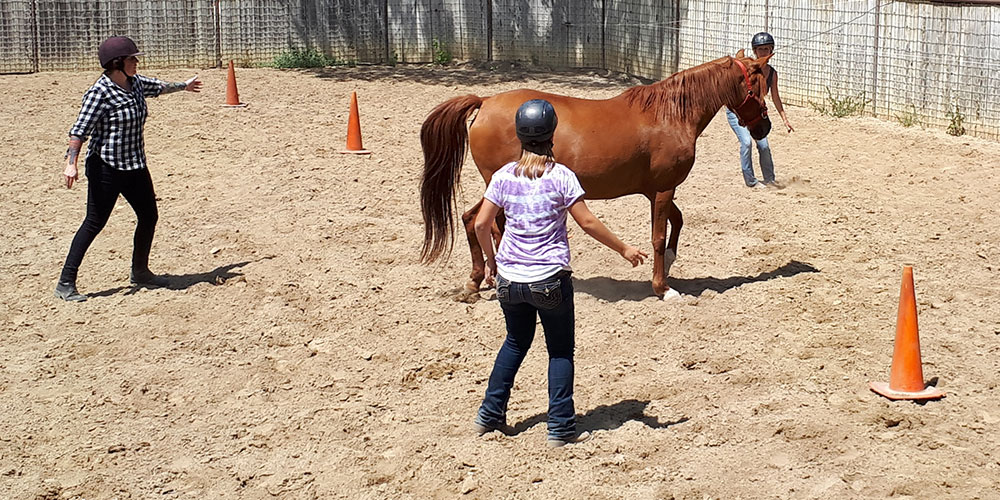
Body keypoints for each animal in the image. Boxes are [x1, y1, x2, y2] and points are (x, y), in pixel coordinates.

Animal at [418, 51, 768, 298]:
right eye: (759, 88)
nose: (764, 127)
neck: (670, 115)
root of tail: (486, 101)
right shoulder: (664, 189)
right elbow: (657, 237)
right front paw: (662, 287)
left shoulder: (655, 190)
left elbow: (677, 222)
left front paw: (669, 262)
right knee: (477, 220)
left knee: (479, 222)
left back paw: (480, 280)